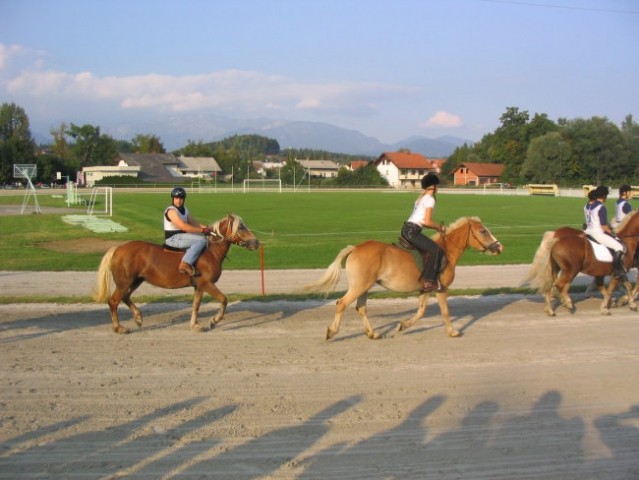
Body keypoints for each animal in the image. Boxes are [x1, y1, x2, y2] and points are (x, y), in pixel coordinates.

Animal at [92, 214, 260, 334]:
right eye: (241, 228)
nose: (256, 242)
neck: (210, 252)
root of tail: (118, 248)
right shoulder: (207, 284)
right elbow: (224, 300)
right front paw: (214, 320)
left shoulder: (199, 286)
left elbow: (196, 305)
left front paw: (195, 325)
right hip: (124, 283)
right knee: (113, 302)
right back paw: (119, 328)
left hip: (135, 281)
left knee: (125, 298)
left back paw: (138, 318)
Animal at [302, 218, 504, 342]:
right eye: (483, 231)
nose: (499, 247)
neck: (447, 251)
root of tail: (355, 248)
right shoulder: (441, 288)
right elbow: (445, 311)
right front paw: (453, 331)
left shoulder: (425, 288)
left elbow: (421, 311)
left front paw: (402, 325)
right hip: (360, 286)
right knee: (341, 304)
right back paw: (332, 331)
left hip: (364, 287)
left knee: (361, 308)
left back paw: (373, 333)